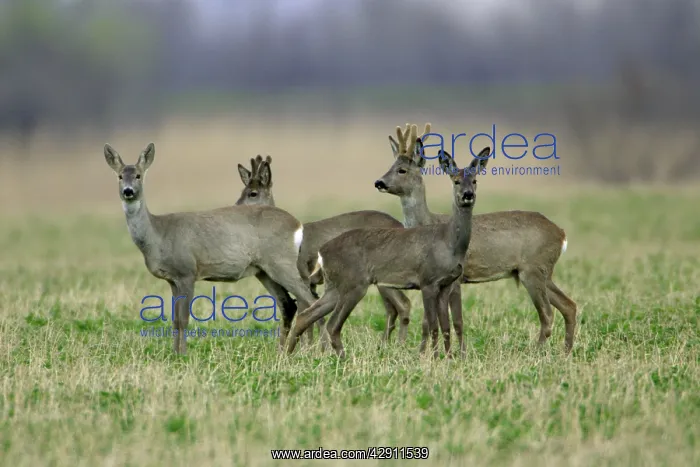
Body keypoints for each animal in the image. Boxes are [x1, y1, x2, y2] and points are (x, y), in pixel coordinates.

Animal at [103, 142, 323, 355]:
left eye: (138, 175)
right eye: (120, 176)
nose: (128, 191)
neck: (158, 235)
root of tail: (298, 224)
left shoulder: (187, 272)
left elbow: (183, 319)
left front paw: (183, 355)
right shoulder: (172, 280)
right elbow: (174, 320)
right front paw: (173, 354)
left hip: (282, 263)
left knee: (310, 300)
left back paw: (320, 352)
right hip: (264, 270)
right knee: (290, 304)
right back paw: (285, 353)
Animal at [235, 154, 413, 345]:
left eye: (253, 193)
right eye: (242, 191)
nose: (236, 207)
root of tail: (401, 225)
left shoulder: (303, 276)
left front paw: (307, 347)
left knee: (403, 305)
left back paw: (398, 345)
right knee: (392, 308)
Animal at [286, 137, 490, 360]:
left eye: (475, 181)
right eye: (456, 181)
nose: (467, 195)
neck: (449, 242)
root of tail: (322, 252)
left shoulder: (446, 284)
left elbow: (445, 325)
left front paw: (449, 358)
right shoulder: (427, 281)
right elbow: (433, 325)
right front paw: (434, 359)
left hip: (334, 286)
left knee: (305, 316)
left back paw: (287, 355)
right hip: (354, 284)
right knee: (333, 325)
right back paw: (342, 358)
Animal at [374, 123, 577, 354]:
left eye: (402, 170)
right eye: (390, 166)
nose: (379, 182)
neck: (428, 222)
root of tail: (561, 233)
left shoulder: (452, 278)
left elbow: (437, 319)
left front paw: (432, 353)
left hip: (533, 270)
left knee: (548, 313)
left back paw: (536, 352)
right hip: (542, 272)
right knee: (569, 306)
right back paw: (566, 353)